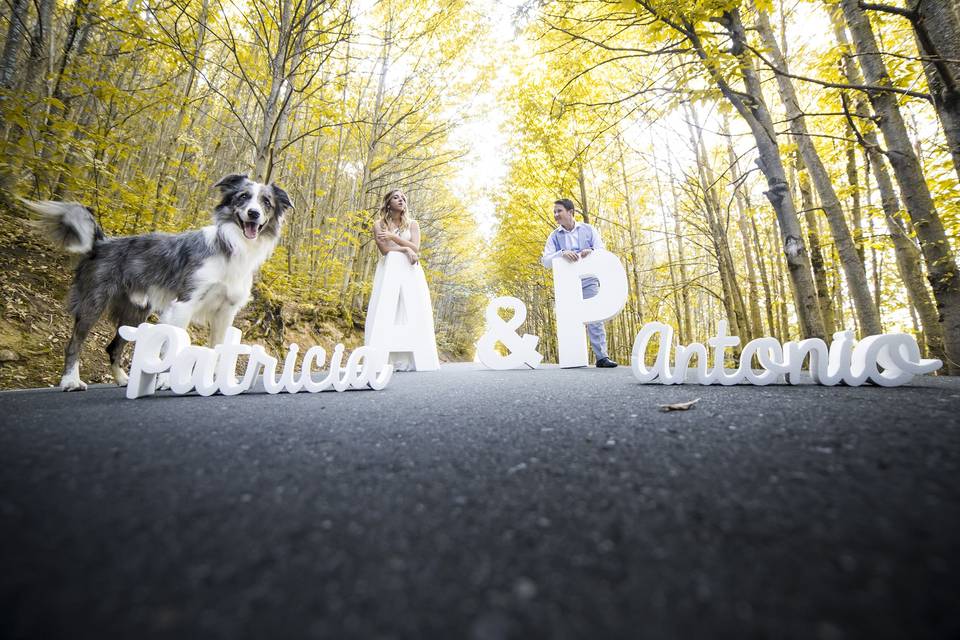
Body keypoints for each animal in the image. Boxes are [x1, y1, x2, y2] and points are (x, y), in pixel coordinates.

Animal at [28, 175, 294, 392]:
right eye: (243, 197)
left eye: (266, 202)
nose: (254, 214)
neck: (231, 248)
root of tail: (102, 242)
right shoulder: (184, 303)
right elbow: (175, 347)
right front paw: (167, 381)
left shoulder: (225, 312)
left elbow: (217, 349)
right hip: (93, 303)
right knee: (75, 341)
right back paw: (70, 380)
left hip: (135, 313)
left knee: (113, 347)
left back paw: (122, 379)